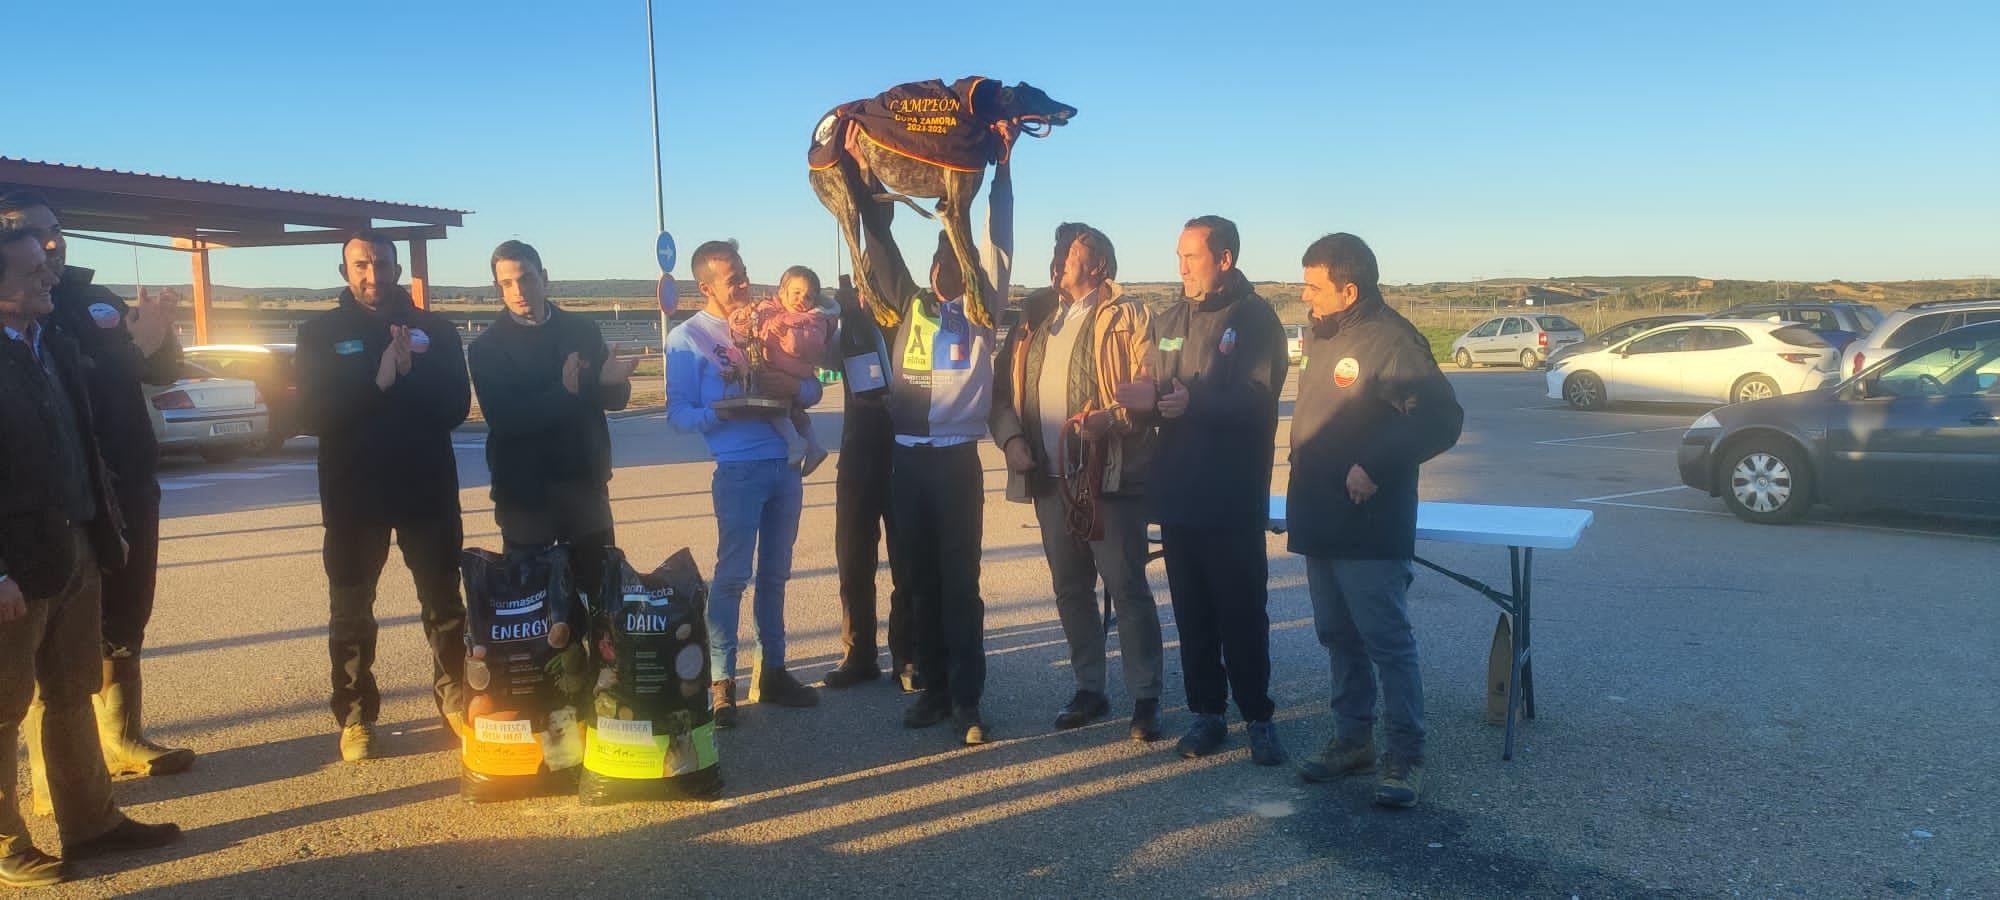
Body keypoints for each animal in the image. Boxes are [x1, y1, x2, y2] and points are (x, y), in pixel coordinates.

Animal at [808, 77, 1080, 330]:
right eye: (1039, 96)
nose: (1073, 109)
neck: (981, 112)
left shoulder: (946, 206)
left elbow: (967, 259)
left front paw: (971, 308)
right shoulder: (956, 208)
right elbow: (971, 263)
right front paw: (980, 312)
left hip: (873, 196)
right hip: (846, 204)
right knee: (858, 266)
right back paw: (883, 312)